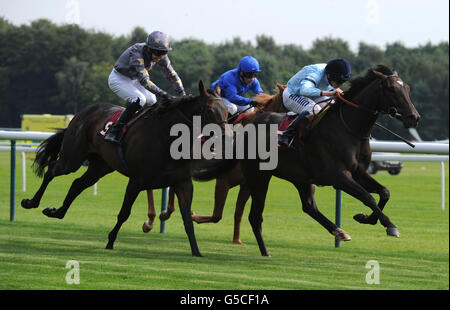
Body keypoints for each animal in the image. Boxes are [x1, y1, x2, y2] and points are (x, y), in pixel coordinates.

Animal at [21, 80, 227, 256]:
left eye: (226, 110)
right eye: (210, 109)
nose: (225, 136)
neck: (167, 138)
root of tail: (84, 112)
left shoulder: (183, 182)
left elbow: (187, 219)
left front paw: (196, 251)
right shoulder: (137, 180)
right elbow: (124, 213)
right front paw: (110, 241)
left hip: (100, 166)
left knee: (77, 184)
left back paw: (56, 212)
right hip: (72, 158)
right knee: (52, 170)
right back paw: (31, 202)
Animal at [198, 64, 422, 256]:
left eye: (407, 88)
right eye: (392, 89)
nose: (414, 117)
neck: (349, 129)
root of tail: (248, 127)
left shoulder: (359, 172)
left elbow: (384, 192)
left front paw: (366, 218)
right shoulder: (339, 177)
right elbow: (368, 197)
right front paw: (390, 226)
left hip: (300, 178)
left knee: (308, 206)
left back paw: (338, 231)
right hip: (258, 176)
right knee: (255, 216)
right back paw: (265, 252)